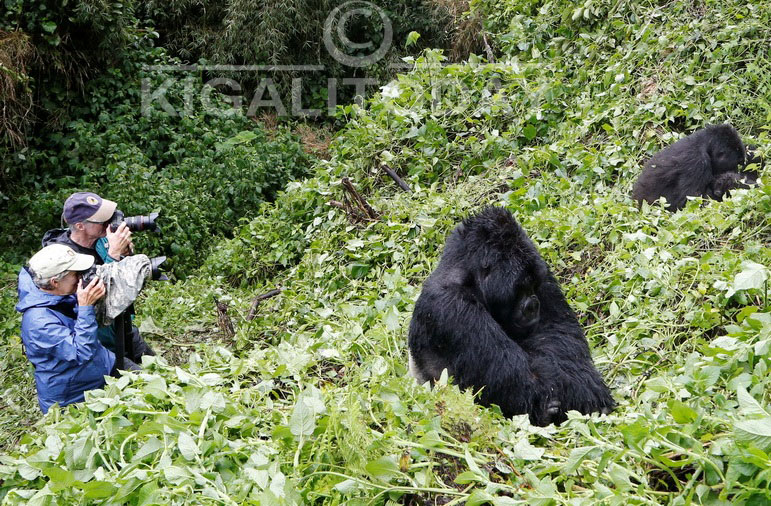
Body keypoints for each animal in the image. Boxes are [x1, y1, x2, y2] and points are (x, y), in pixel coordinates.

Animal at [410, 208, 616, 424]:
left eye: (533, 285)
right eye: (521, 288)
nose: (533, 305)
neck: (469, 277)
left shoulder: (541, 269)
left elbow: (558, 337)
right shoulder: (449, 305)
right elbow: (514, 376)